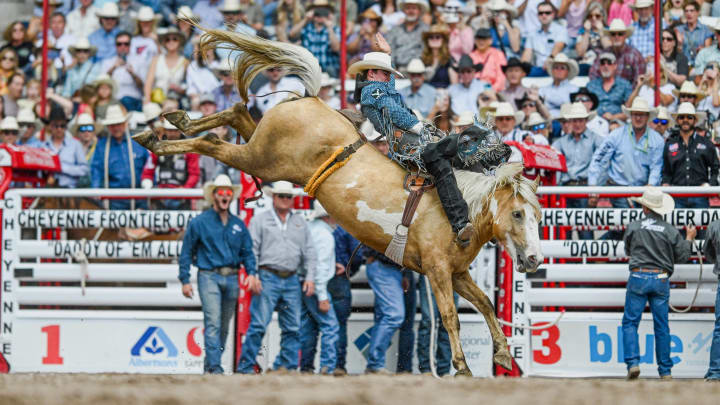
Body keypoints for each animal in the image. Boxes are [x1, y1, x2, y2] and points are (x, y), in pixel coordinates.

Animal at [132, 28, 544, 376]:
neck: (460, 210)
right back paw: (155, 138)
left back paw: (176, 120)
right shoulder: (438, 270)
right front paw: (462, 367)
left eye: (538, 217)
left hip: (265, 150)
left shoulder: (457, 273)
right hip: (261, 160)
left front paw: (503, 354)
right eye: (518, 213)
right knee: (213, 143)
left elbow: (485, 303)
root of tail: (313, 100)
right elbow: (450, 316)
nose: (535, 260)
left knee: (237, 115)